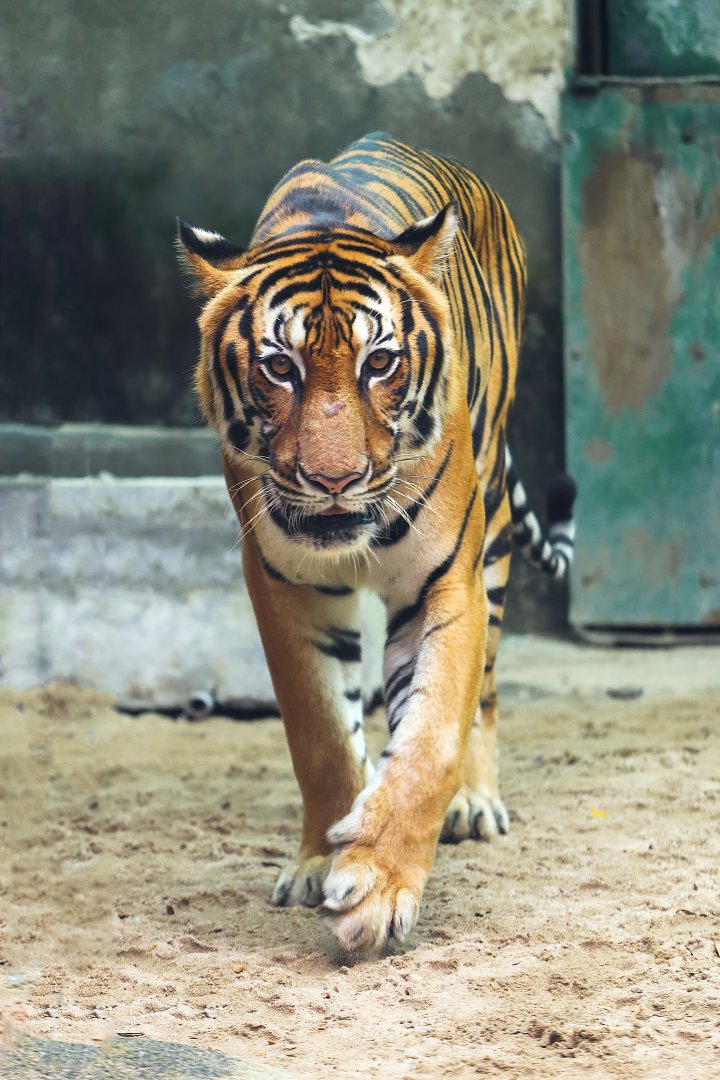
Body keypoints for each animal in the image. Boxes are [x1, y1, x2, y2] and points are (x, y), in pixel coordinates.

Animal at [176, 132, 576, 956]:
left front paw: (378, 886)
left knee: (486, 690)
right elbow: (322, 732)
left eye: (380, 362)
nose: (334, 480)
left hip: (492, 542)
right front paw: (321, 859)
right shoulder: (281, 583)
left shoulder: (443, 582)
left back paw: (475, 804)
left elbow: (430, 738)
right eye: (280, 366)